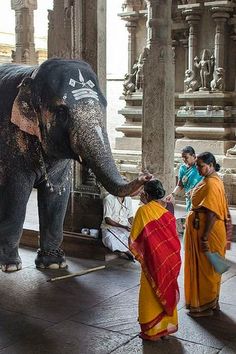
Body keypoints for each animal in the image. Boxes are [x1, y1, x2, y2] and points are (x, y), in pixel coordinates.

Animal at [0, 59, 150, 272]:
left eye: (104, 105)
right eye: (62, 111)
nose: (146, 176)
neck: (32, 74)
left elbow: (57, 194)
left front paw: (55, 264)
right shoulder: (10, 137)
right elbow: (16, 192)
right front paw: (11, 266)